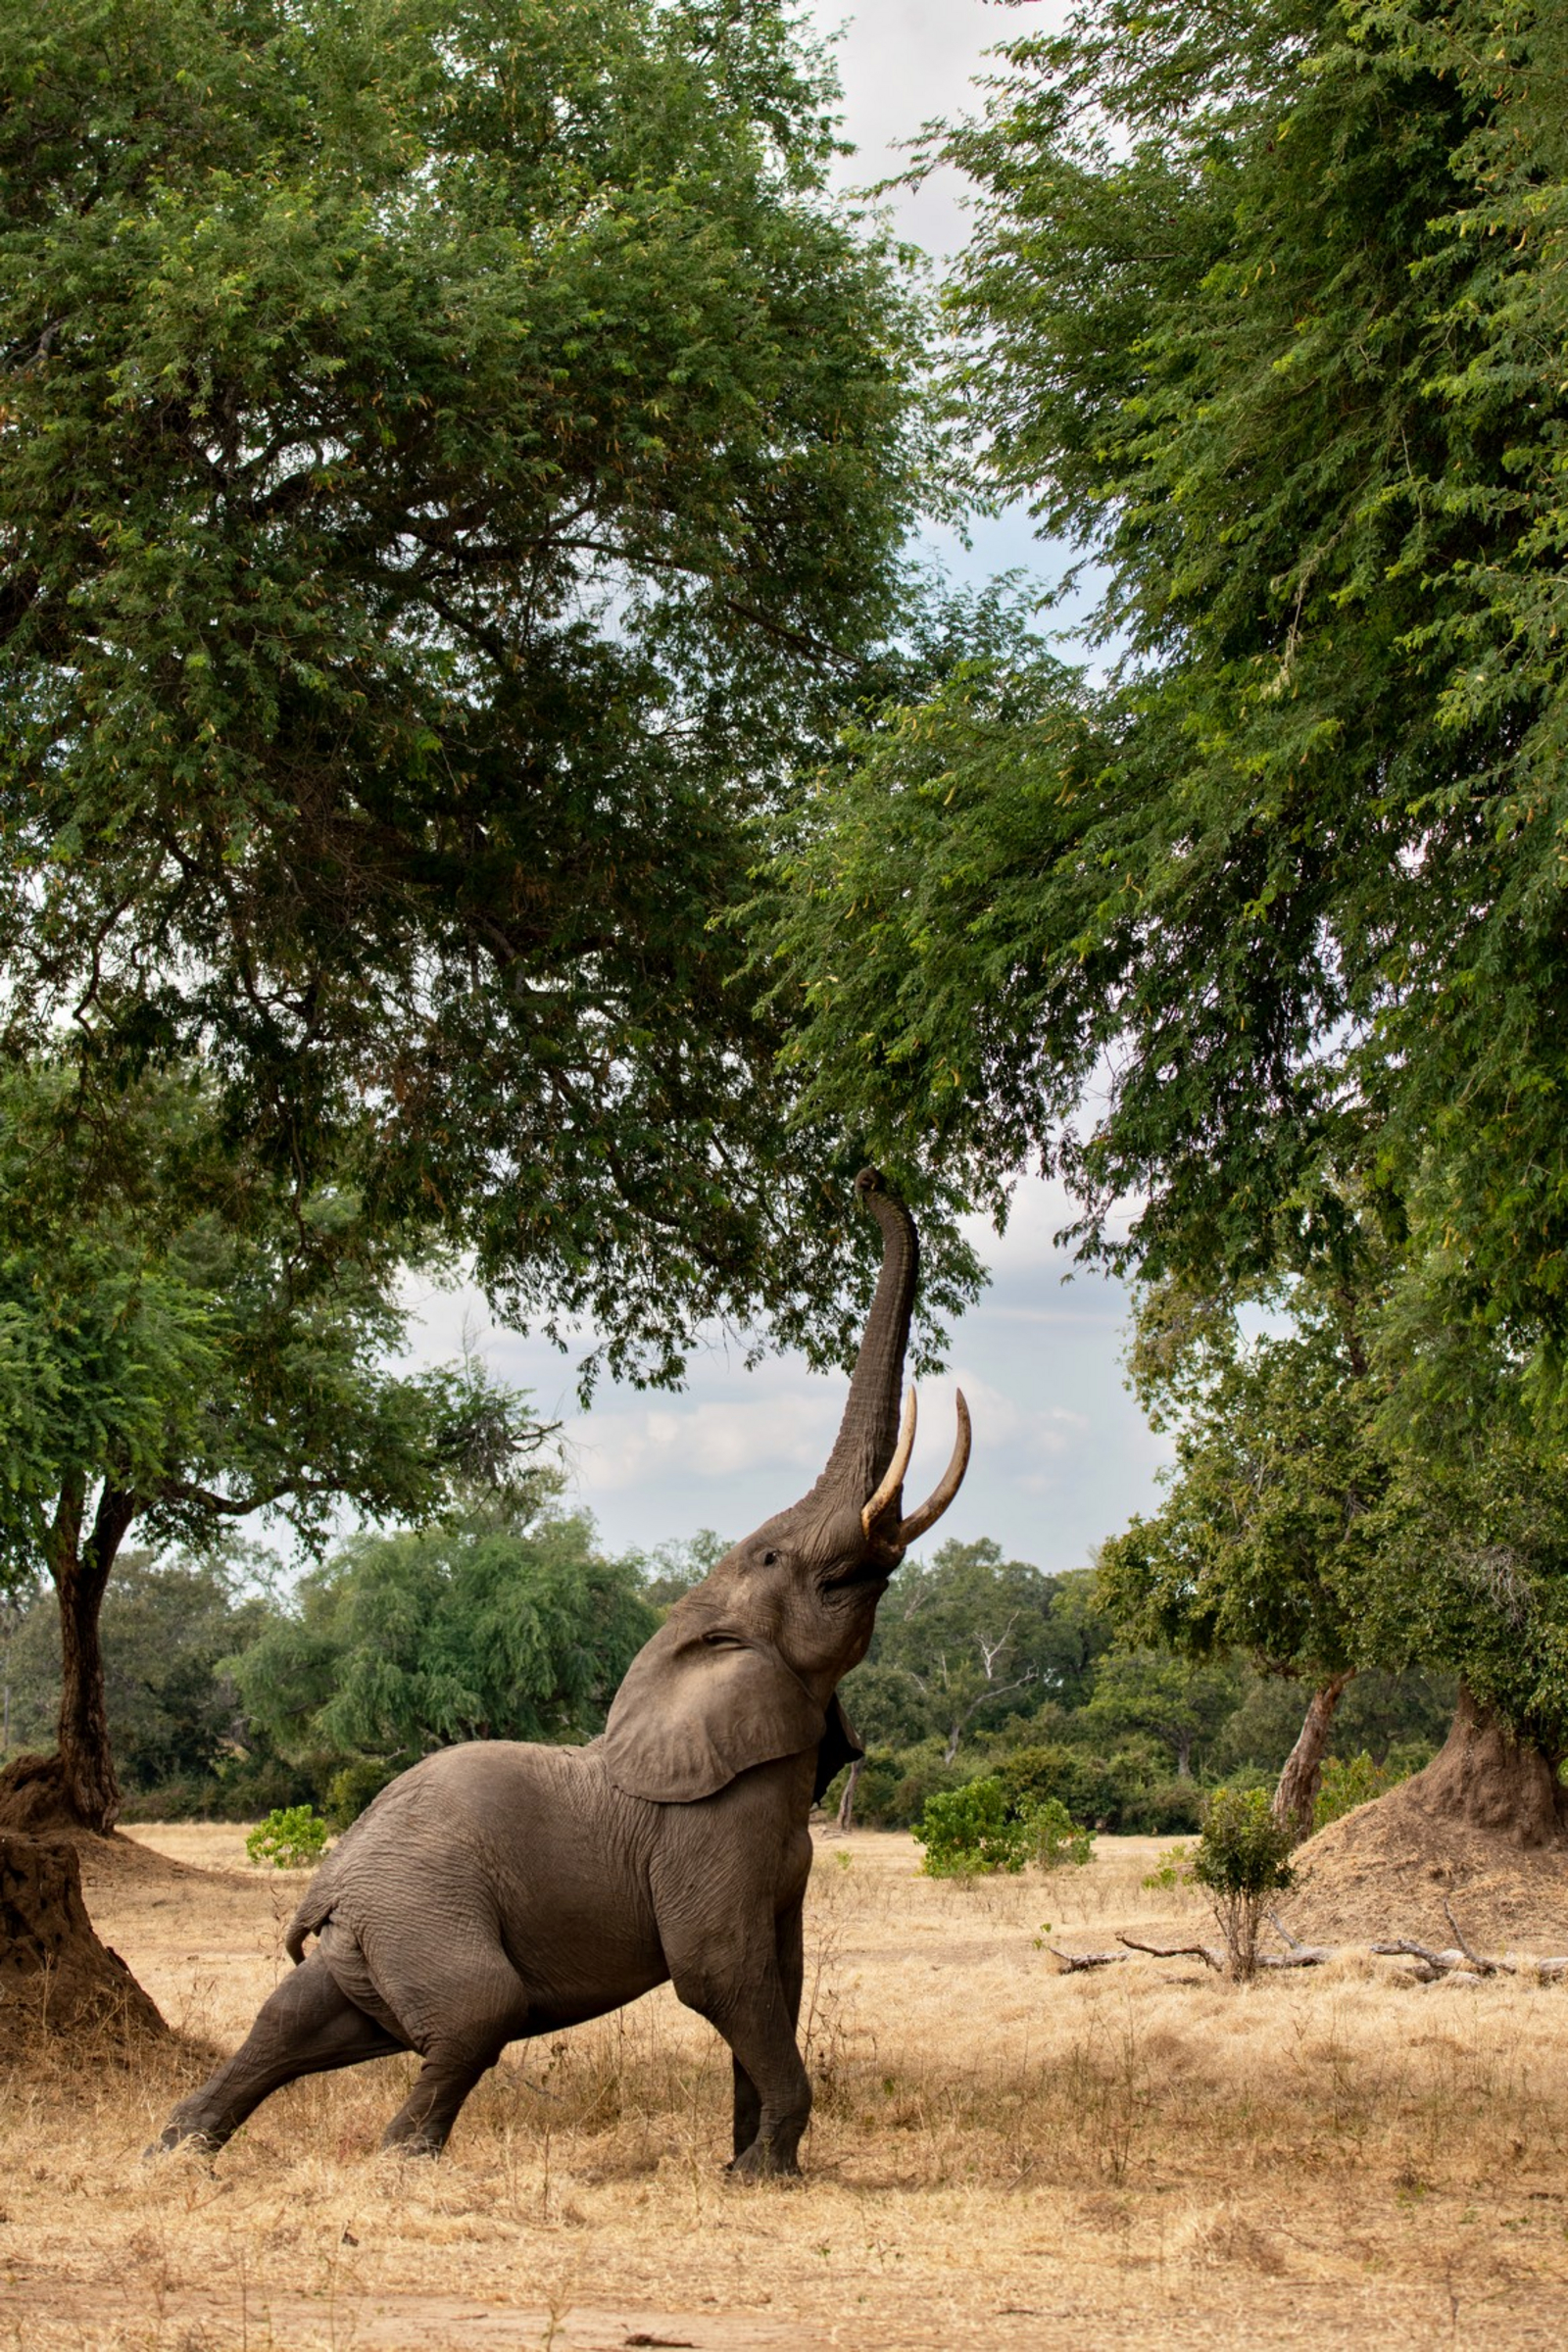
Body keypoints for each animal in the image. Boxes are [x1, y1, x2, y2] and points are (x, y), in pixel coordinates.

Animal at [152, 1169, 970, 2176]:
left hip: (382, 1923)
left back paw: (176, 2152)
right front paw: (762, 2174)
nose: (864, 1180)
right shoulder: (707, 1834)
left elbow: (778, 1978)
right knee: (472, 2012)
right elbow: (721, 1974)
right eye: (780, 1560)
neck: (689, 1646)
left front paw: (747, 2167)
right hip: (423, 1908)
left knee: (301, 2019)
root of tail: (331, 1883)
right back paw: (398, 2161)